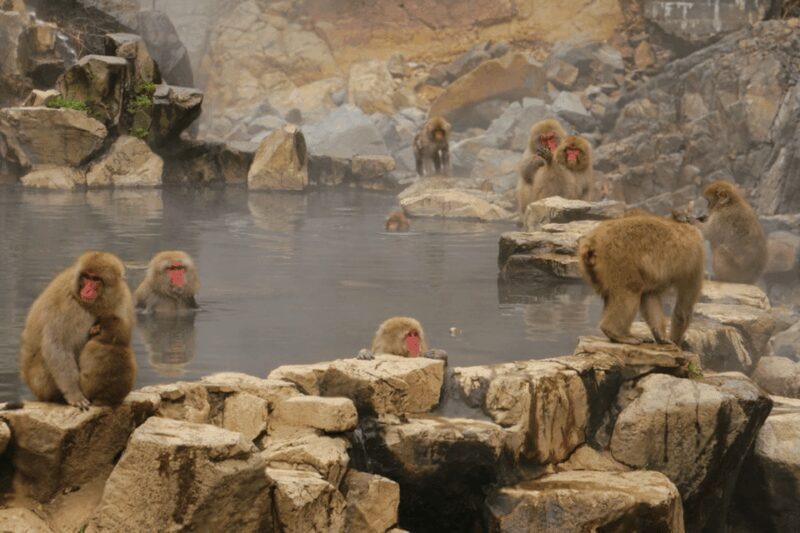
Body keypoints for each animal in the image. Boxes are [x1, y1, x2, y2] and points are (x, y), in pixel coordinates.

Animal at [19, 251, 132, 409]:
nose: (87, 290)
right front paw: (74, 394)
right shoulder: (66, 303)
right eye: (86, 277)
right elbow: (57, 345)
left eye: (95, 279)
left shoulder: (122, 299)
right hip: (39, 382)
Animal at [578, 215, 704, 345]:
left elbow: (650, 296)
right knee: (631, 289)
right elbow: (683, 309)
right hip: (618, 256)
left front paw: (661, 336)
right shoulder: (695, 259)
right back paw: (617, 333)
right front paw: (674, 340)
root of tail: (592, 241)